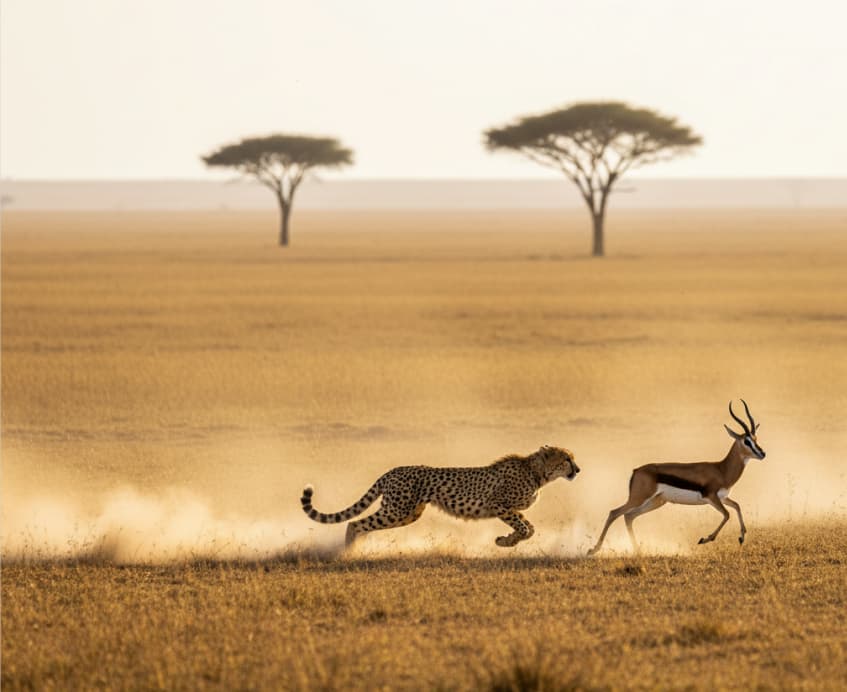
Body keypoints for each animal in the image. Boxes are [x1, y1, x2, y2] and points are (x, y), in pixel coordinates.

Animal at [300, 445, 579, 548]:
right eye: (566, 459)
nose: (577, 469)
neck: (537, 473)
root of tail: (392, 471)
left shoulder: (510, 509)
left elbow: (529, 528)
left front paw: (505, 541)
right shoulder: (498, 505)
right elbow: (524, 528)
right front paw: (507, 541)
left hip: (408, 514)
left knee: (362, 525)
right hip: (398, 510)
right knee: (355, 523)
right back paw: (347, 552)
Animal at [587, 400, 766, 555]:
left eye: (755, 439)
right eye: (746, 441)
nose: (762, 453)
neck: (721, 469)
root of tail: (636, 470)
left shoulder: (722, 498)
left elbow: (737, 506)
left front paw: (742, 537)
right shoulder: (711, 497)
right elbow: (727, 514)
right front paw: (705, 539)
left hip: (656, 502)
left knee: (628, 516)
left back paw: (638, 551)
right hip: (639, 498)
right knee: (614, 513)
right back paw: (593, 550)